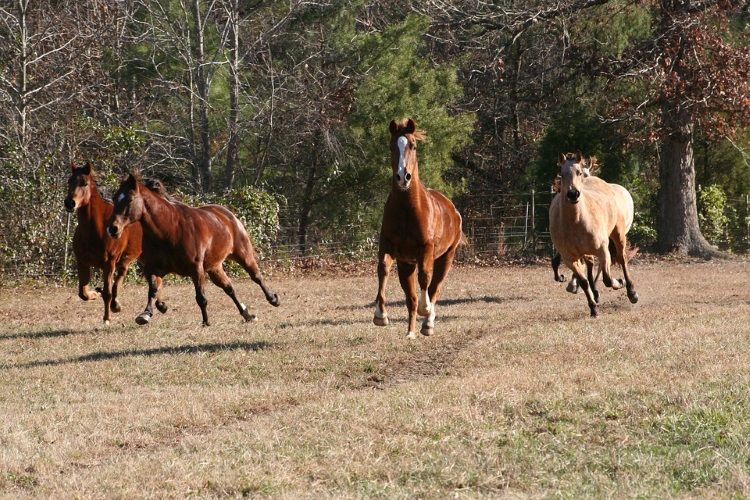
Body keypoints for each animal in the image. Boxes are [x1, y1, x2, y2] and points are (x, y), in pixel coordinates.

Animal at [64, 163, 167, 324]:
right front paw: (95, 294)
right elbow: (83, 293)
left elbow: (107, 292)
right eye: (69, 181)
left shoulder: (109, 263)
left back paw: (152, 309)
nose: (69, 203)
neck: (96, 228)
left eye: (84, 183)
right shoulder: (82, 262)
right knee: (131, 276)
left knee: (154, 281)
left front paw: (107, 318)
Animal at [106, 174, 280, 326]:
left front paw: (206, 321)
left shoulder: (196, 270)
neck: (169, 230)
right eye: (115, 198)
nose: (112, 229)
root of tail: (228, 215)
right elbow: (153, 290)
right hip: (215, 267)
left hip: (243, 254)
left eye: (129, 199)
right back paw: (247, 314)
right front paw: (146, 314)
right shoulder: (154, 268)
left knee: (256, 277)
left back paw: (273, 299)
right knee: (229, 288)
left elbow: (200, 297)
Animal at [372, 118, 462, 338]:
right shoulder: (388, 246)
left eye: (413, 145)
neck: (407, 208)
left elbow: (425, 278)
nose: (403, 177)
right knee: (411, 298)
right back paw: (410, 332)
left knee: (435, 288)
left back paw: (428, 324)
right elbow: (383, 269)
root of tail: (453, 210)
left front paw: (426, 308)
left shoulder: (426, 249)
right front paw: (380, 315)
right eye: (391, 146)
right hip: (407, 264)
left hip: (446, 257)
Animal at [548, 151, 636, 316]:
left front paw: (619, 282)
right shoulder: (570, 258)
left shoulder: (601, 250)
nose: (573, 194)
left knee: (621, 259)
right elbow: (583, 281)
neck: (576, 222)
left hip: (618, 235)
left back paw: (631, 292)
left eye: (579, 172)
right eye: (561, 174)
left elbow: (607, 278)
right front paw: (593, 307)